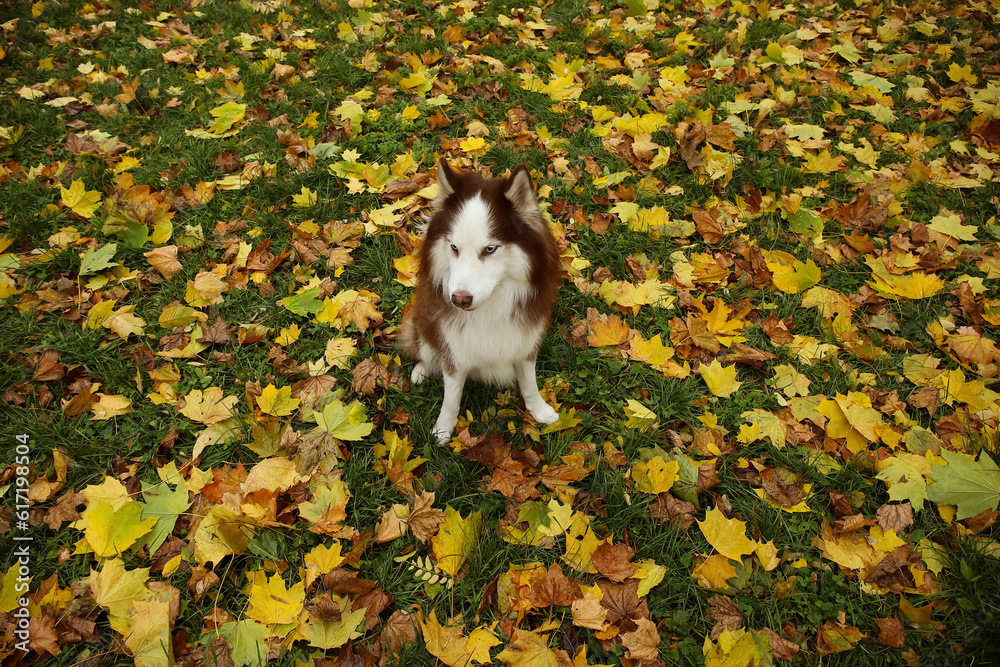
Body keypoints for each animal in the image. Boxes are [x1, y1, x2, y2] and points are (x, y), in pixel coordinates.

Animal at [400, 159, 564, 446]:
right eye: (454, 247)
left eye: (490, 249)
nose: (459, 300)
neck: (490, 310)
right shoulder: (454, 349)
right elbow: (451, 399)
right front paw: (443, 430)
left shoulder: (524, 341)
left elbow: (529, 383)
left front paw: (540, 410)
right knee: (426, 349)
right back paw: (422, 370)